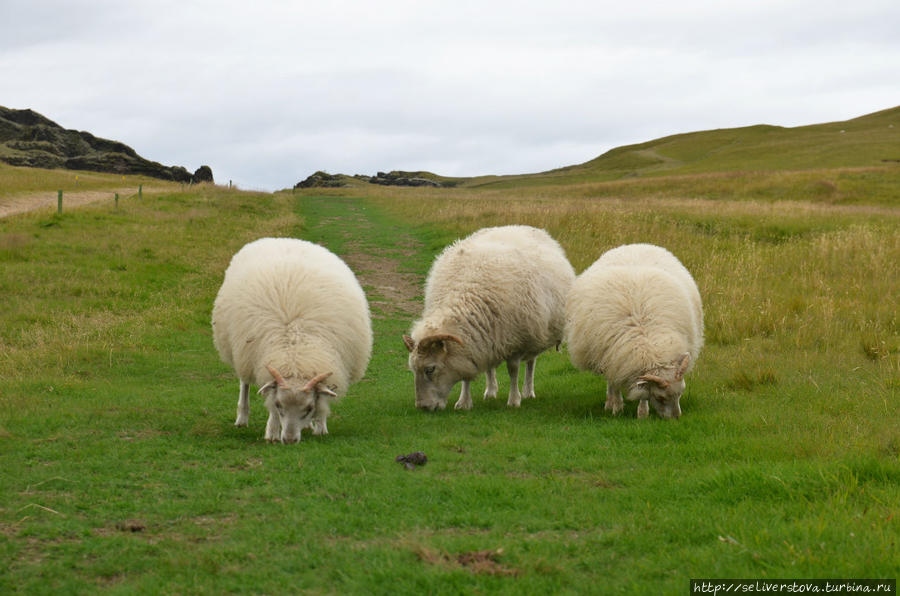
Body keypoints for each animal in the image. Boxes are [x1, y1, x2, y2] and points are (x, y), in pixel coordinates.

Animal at [212, 237, 372, 442]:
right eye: (280, 405)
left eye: (309, 408)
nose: (289, 440)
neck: (296, 351)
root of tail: (282, 239)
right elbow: (271, 406)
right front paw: (272, 432)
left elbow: (323, 400)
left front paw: (320, 426)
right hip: (242, 351)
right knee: (244, 383)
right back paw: (242, 417)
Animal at [402, 226, 572, 412]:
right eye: (413, 369)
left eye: (430, 369)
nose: (422, 407)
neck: (465, 294)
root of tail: (519, 226)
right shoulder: (469, 346)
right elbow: (466, 374)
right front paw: (464, 402)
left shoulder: (517, 341)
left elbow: (513, 370)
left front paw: (514, 400)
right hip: (491, 335)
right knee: (490, 366)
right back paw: (490, 391)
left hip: (532, 333)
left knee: (530, 363)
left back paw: (528, 391)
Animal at [564, 242, 704, 420]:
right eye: (660, 397)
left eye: (681, 393)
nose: (676, 418)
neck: (645, 335)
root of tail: (635, 245)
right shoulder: (615, 358)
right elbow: (620, 385)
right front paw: (619, 408)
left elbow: (642, 393)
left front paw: (642, 412)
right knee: (611, 382)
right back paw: (610, 403)